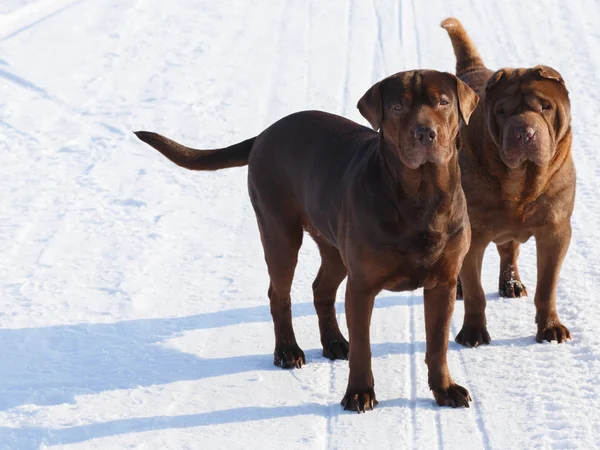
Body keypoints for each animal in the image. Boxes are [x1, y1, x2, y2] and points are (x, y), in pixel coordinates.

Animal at [135, 69, 478, 412]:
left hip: (333, 246)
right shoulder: (362, 285)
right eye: (397, 108)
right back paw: (287, 351)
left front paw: (445, 389)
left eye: (443, 102)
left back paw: (334, 342)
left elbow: (437, 344)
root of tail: (264, 134)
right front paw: (359, 392)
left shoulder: (444, 283)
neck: (421, 195)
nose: (426, 133)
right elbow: (363, 348)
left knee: (321, 289)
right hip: (279, 232)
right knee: (279, 293)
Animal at [440, 19, 576, 346]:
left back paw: (511, 284)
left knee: (509, 250)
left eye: (545, 107)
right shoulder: (474, 236)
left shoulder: (556, 232)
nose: (524, 132)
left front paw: (550, 328)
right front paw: (473, 332)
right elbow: (475, 291)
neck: (521, 182)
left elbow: (547, 287)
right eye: (502, 111)